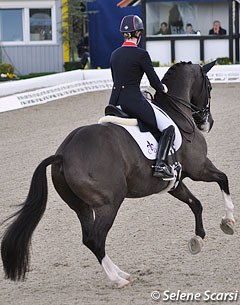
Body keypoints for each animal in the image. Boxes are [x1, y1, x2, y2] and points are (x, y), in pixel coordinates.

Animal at [0, 61, 235, 288]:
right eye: (209, 87)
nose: (207, 123)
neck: (177, 114)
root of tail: (63, 154)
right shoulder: (199, 168)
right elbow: (223, 178)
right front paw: (228, 221)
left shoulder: (174, 183)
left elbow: (196, 203)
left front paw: (198, 239)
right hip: (109, 203)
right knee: (96, 239)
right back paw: (118, 280)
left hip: (81, 206)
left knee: (89, 238)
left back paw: (122, 273)